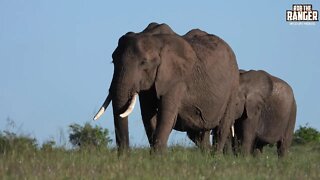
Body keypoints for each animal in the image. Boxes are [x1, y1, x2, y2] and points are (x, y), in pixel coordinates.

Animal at [93, 21, 240, 153]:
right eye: (113, 61)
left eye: (143, 63)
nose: (125, 155)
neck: (156, 40)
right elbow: (148, 116)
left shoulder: (177, 79)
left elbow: (166, 115)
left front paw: (158, 158)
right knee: (199, 134)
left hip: (233, 85)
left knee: (222, 128)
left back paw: (215, 157)